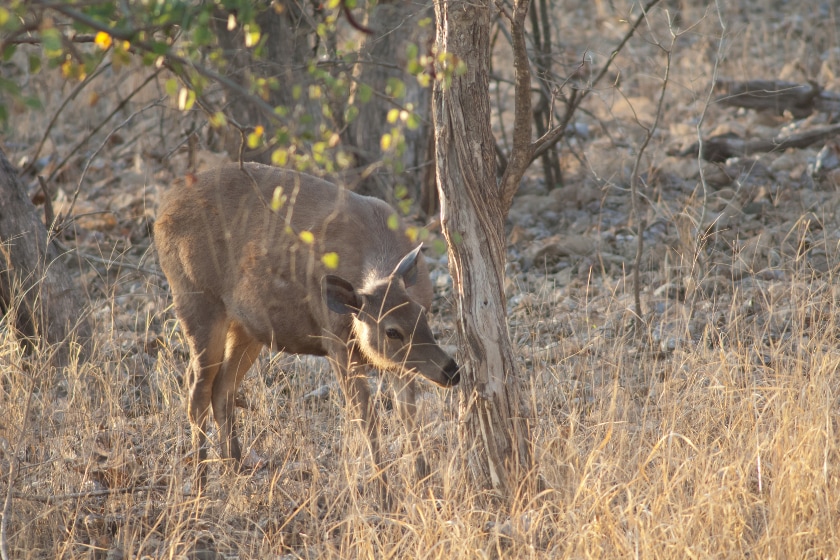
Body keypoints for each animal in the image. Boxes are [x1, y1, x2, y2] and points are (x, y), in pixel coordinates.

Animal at [154, 162, 456, 504]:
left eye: (423, 314)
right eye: (392, 331)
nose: (451, 370)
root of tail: (161, 213)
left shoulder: (396, 363)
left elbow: (409, 415)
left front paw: (424, 482)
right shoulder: (337, 343)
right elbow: (367, 418)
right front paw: (384, 493)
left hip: (248, 327)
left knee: (222, 388)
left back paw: (236, 468)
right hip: (196, 299)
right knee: (197, 390)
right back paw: (201, 484)